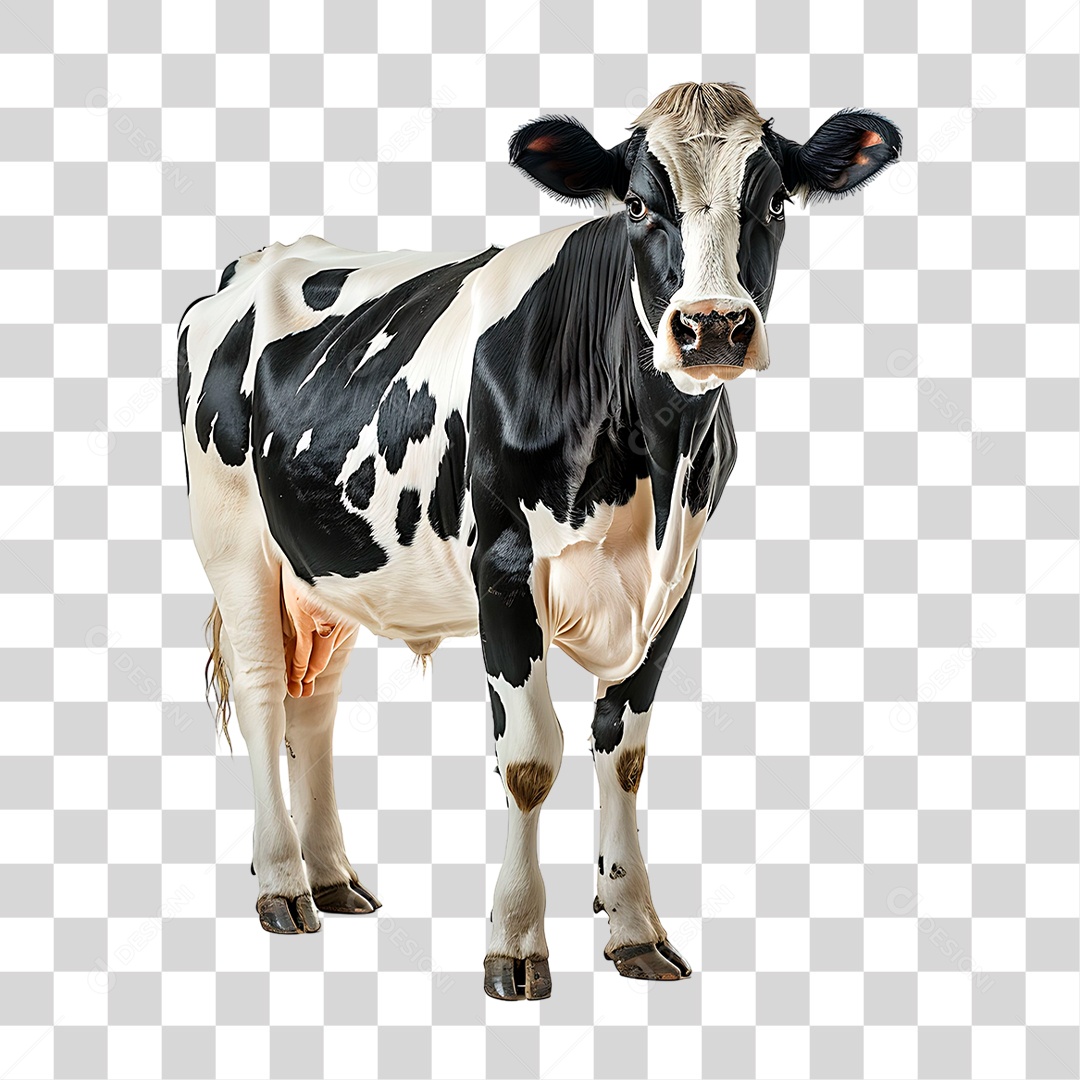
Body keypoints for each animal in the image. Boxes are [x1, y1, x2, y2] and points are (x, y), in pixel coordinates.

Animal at [178, 83, 900, 999]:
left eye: (774, 202)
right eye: (638, 206)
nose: (711, 327)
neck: (655, 456)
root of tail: (259, 258)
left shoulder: (677, 582)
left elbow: (623, 754)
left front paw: (633, 929)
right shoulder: (504, 571)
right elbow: (528, 759)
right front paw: (516, 942)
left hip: (331, 562)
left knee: (316, 704)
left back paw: (334, 878)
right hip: (234, 540)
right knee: (265, 690)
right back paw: (282, 884)